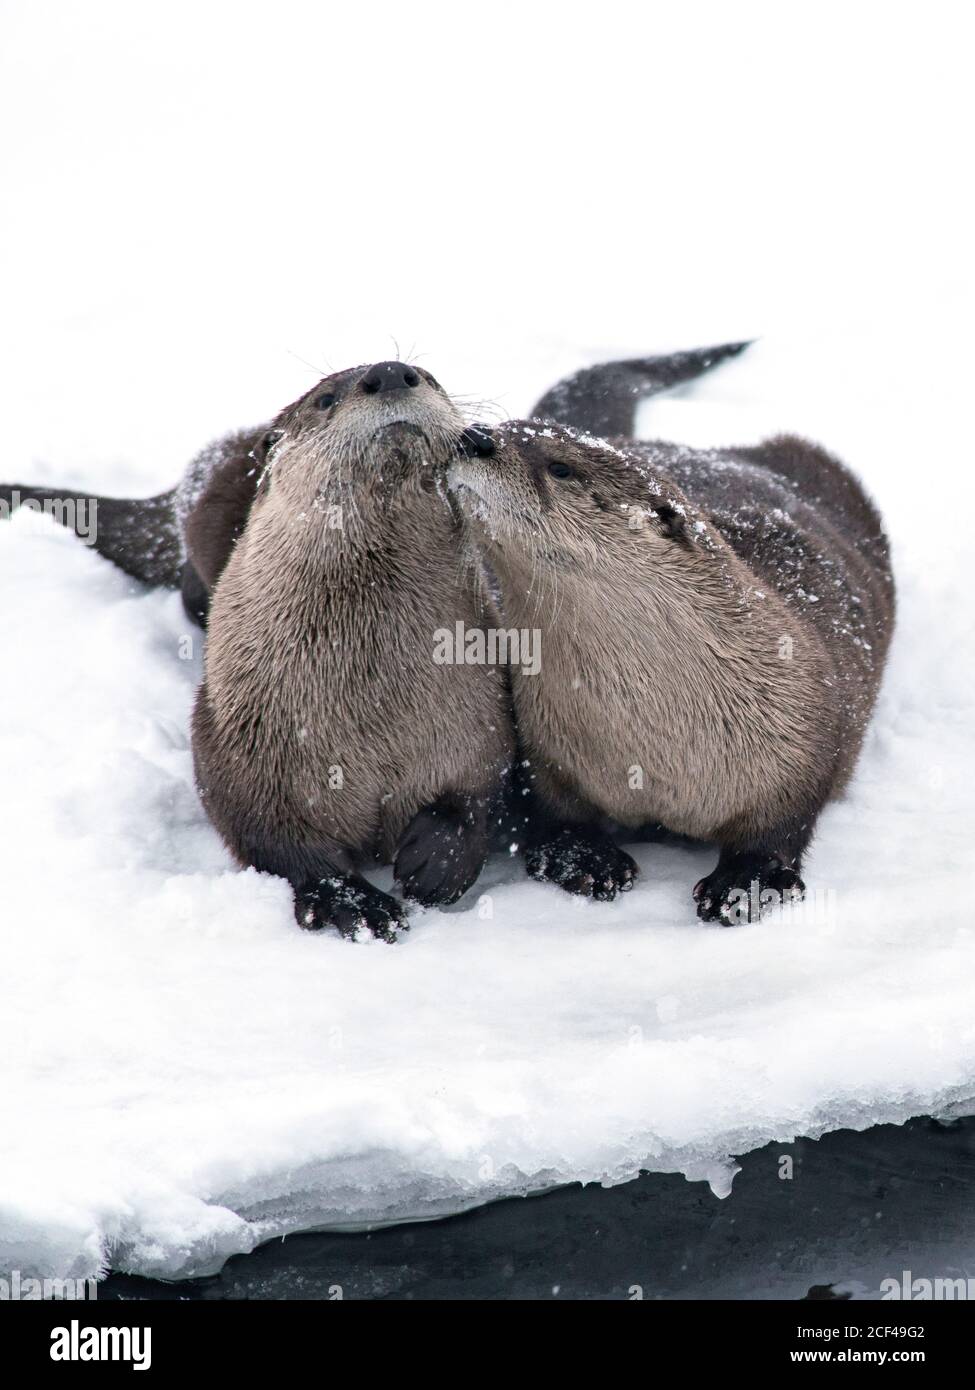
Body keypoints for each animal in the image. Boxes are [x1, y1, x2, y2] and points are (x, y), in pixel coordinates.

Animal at [448, 422, 895, 923]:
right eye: (505, 426)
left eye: (560, 467)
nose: (475, 436)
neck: (655, 742)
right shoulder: (544, 746)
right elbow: (552, 810)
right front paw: (585, 859)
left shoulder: (802, 735)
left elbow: (779, 829)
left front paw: (745, 885)